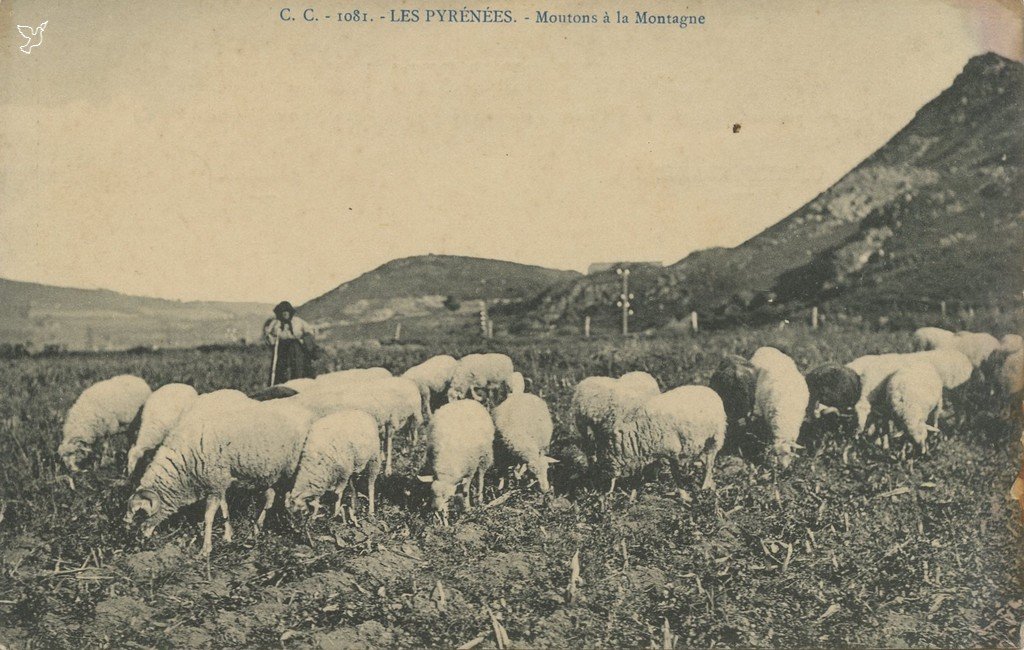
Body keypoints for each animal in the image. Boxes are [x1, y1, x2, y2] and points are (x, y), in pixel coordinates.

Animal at [125, 399, 313, 556]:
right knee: (271, 498)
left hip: (296, 469)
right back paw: (256, 531)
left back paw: (301, 528)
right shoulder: (218, 482)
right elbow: (224, 508)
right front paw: (228, 536)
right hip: (272, 474)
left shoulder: (214, 483)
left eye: (140, 514)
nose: (136, 544)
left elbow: (208, 517)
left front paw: (205, 549)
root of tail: (307, 412)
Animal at [417, 399, 493, 528]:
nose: (435, 509)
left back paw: (479, 498)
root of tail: (468, 400)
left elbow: (466, 490)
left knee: (481, 476)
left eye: (448, 497)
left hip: (484, 455)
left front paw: (467, 508)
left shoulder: (470, 470)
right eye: (432, 493)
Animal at [598, 388, 729, 501]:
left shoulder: (672, 450)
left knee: (709, 464)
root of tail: (710, 390)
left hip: (715, 438)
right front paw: (633, 496)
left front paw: (684, 496)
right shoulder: (650, 452)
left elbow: (675, 474)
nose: (604, 495)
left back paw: (705, 486)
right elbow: (640, 476)